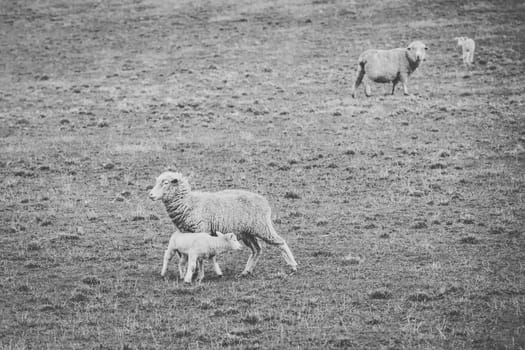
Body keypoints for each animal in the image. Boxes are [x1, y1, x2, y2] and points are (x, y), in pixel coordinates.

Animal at [147, 172, 296, 276]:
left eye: (165, 183)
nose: (150, 195)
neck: (188, 203)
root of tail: (264, 201)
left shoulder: (201, 229)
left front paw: (196, 272)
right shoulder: (186, 234)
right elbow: (185, 255)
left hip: (262, 227)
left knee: (280, 242)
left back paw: (293, 265)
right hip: (247, 232)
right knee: (257, 250)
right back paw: (246, 271)